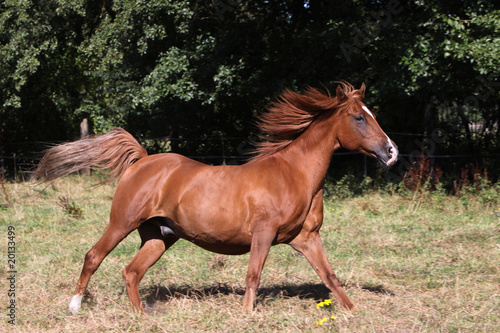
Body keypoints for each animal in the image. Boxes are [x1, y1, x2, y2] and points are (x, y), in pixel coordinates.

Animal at [33, 81, 396, 312]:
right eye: (359, 117)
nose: (391, 152)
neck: (294, 174)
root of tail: (142, 159)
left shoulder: (307, 237)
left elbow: (329, 276)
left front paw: (353, 311)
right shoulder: (263, 234)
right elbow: (253, 275)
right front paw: (246, 315)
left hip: (159, 236)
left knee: (132, 272)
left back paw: (142, 317)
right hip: (122, 222)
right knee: (94, 256)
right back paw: (75, 306)